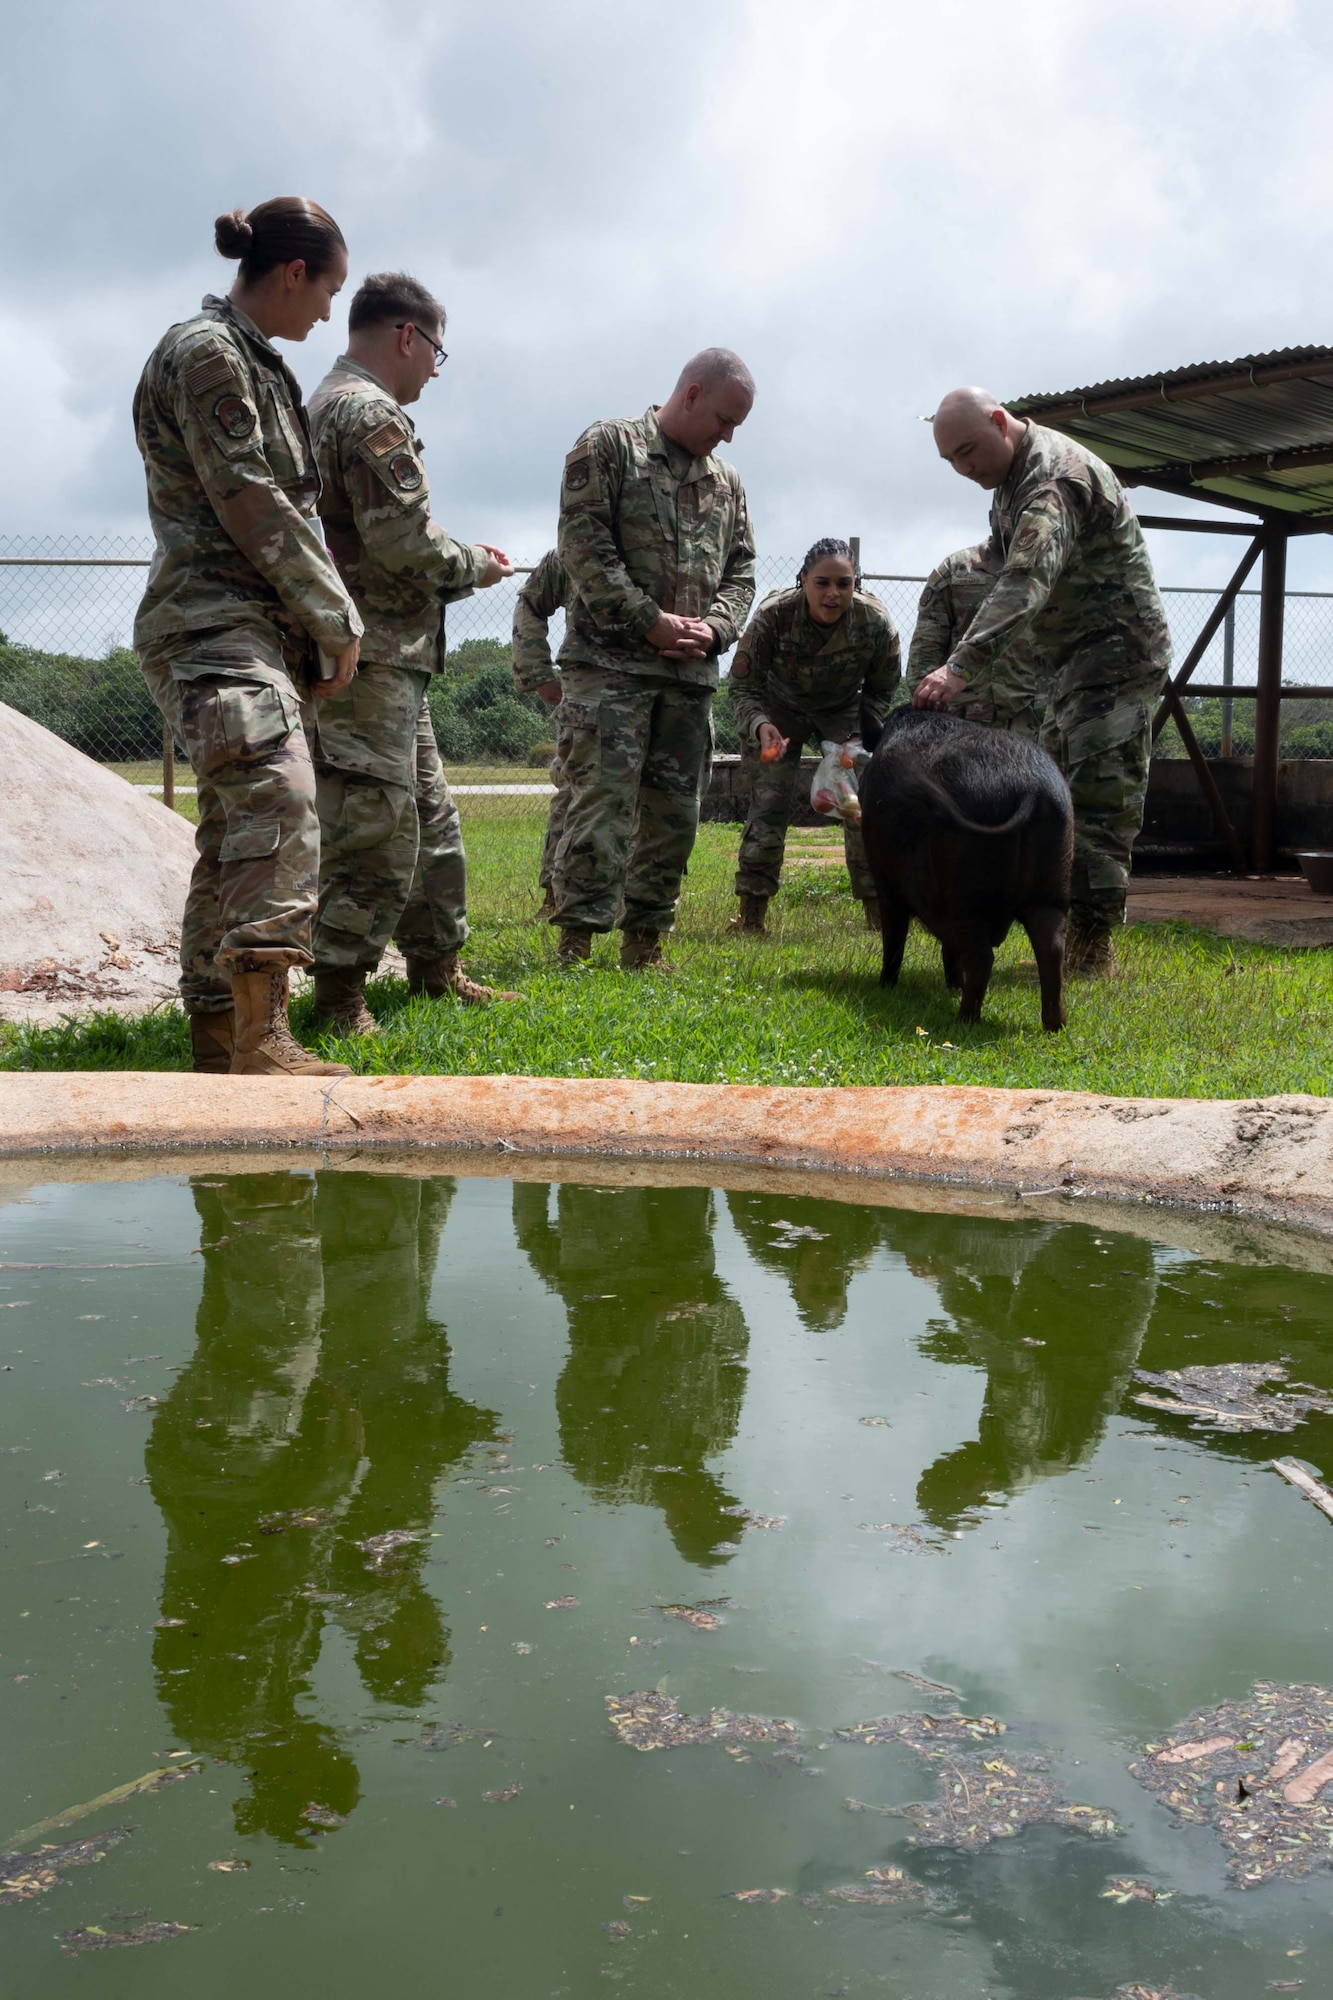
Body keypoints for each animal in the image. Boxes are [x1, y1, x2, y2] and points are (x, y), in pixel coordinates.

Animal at [856, 712, 1072, 1032]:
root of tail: (1030, 788)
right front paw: (952, 986)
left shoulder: (887, 883)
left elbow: (894, 935)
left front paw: (884, 986)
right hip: (1051, 885)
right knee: (1051, 947)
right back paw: (1055, 1026)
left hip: (965, 891)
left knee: (982, 957)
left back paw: (965, 1020)